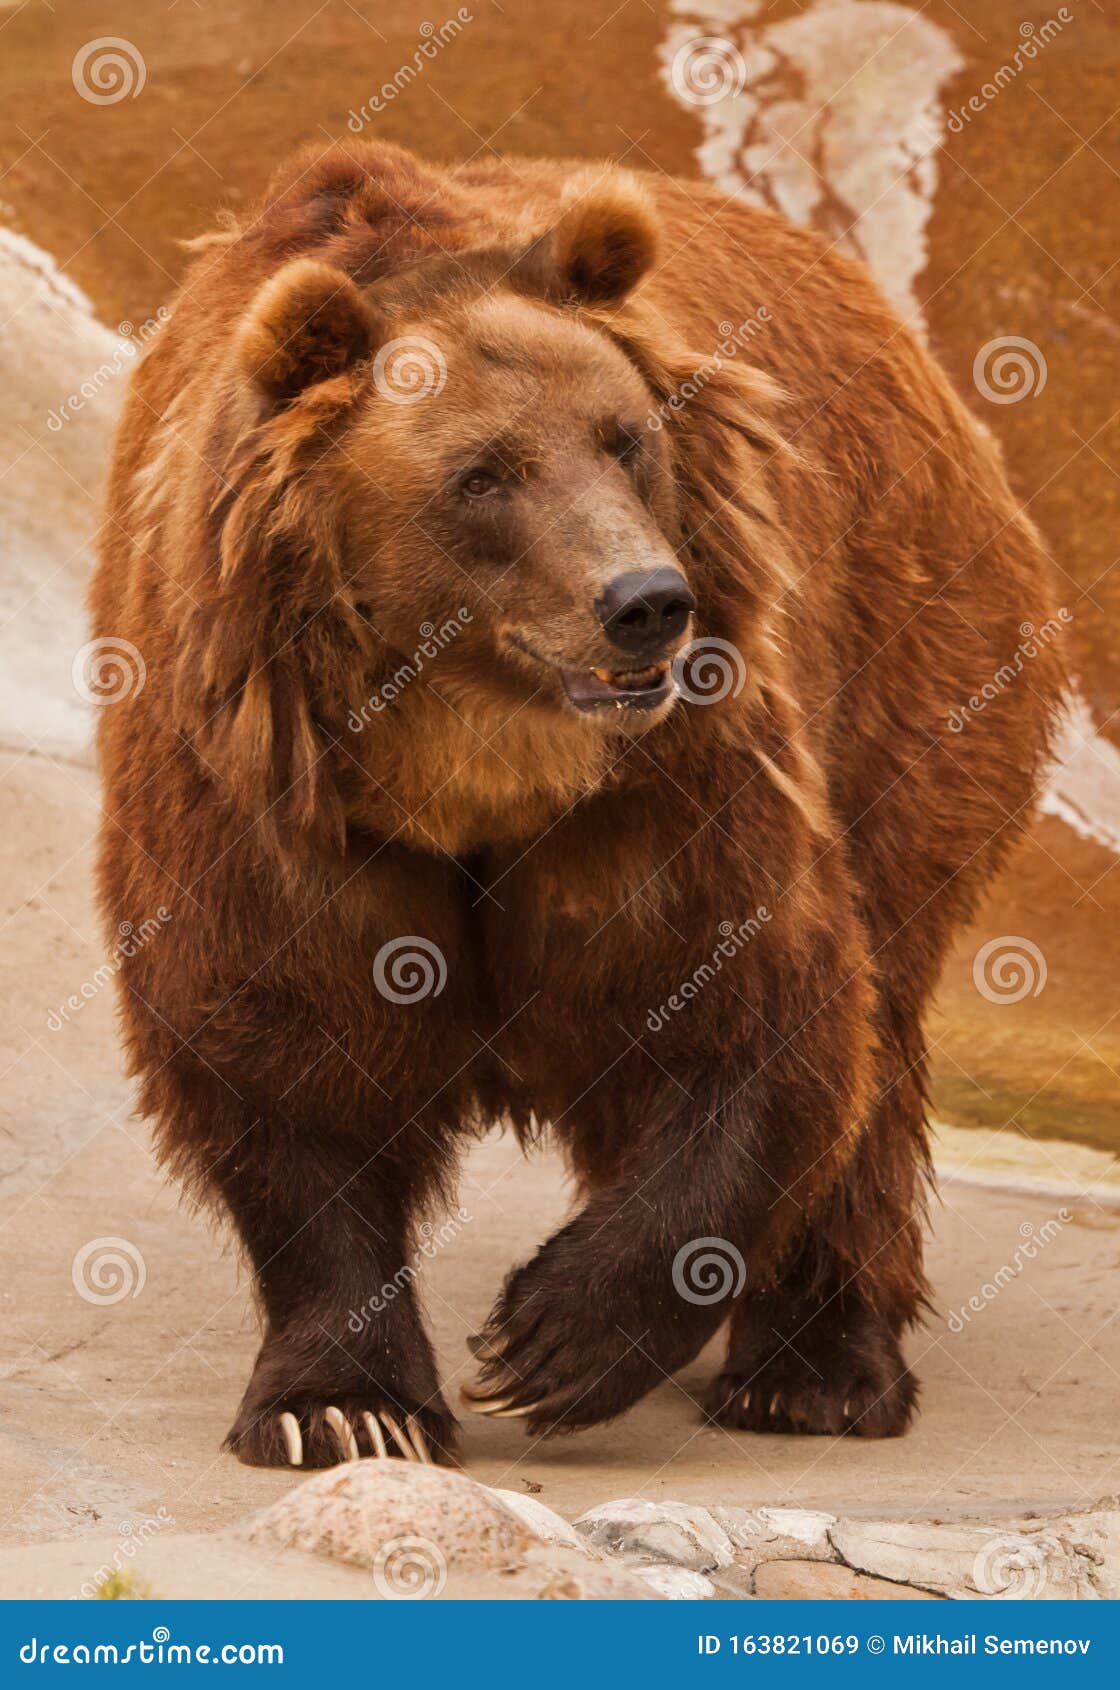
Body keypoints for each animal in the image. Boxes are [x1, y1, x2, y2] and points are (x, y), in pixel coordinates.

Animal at [92, 141, 1067, 1466]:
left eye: (624, 436)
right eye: (482, 475)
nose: (645, 599)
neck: (458, 755)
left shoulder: (670, 776)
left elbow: (748, 1005)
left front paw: (553, 1337)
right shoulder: (266, 793)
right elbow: (287, 1039)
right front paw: (341, 1403)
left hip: (914, 661)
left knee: (875, 1018)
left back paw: (812, 1367)